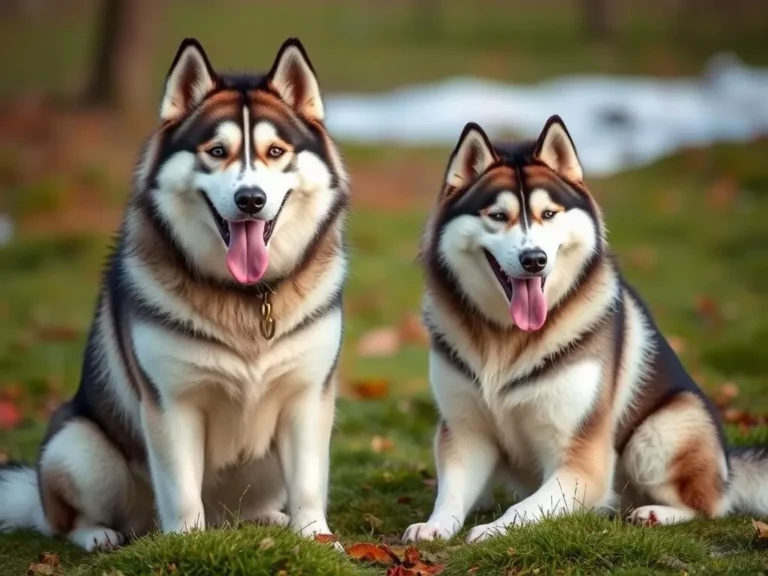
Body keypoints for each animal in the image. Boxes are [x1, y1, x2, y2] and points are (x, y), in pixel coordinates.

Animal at [0, 38, 348, 552]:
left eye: (276, 151)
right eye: (217, 151)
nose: (250, 200)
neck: (245, 297)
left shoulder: (307, 398)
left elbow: (307, 484)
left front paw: (316, 539)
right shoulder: (170, 403)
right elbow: (183, 490)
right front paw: (188, 546)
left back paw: (270, 519)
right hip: (80, 447)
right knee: (66, 520)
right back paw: (98, 534)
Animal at [402, 115, 768, 544]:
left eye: (548, 214)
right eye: (497, 216)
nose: (534, 259)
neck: (507, 338)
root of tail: (729, 466)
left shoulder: (582, 460)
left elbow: (524, 508)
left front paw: (492, 531)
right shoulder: (464, 432)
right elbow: (452, 492)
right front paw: (435, 526)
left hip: (663, 429)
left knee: (710, 506)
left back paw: (656, 513)